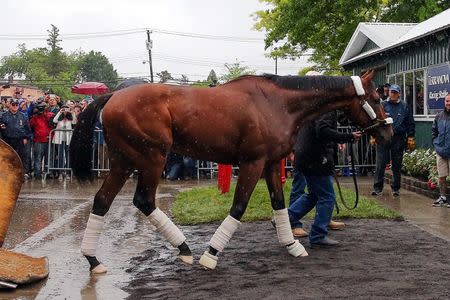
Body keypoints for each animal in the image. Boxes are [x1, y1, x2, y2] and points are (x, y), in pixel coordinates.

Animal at [69, 69, 390, 274]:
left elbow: (279, 204)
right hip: (152, 159)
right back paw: (185, 249)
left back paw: (93, 260)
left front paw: (292, 245)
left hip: (124, 161)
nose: (387, 133)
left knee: (102, 201)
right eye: (376, 97)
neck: (277, 103)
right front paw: (211, 255)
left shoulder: (271, 164)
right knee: (143, 201)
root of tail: (113, 97)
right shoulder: (252, 162)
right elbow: (238, 207)